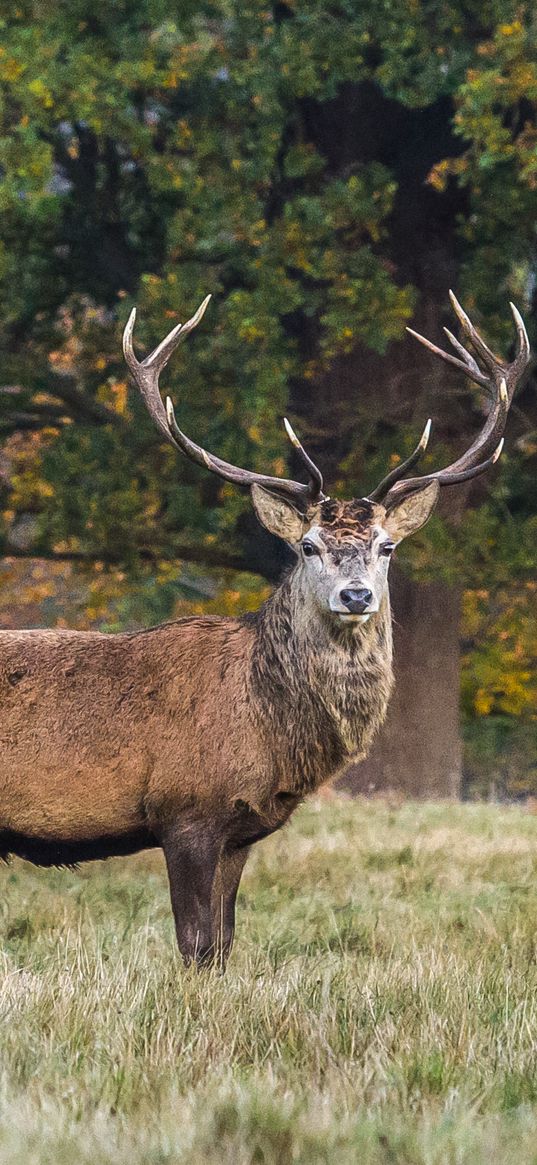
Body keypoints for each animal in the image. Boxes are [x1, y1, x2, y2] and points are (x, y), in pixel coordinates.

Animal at [0, 291, 526, 964]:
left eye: (385, 547)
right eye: (307, 546)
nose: (356, 595)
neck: (267, 727)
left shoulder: (241, 829)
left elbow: (224, 943)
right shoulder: (186, 811)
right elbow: (196, 944)